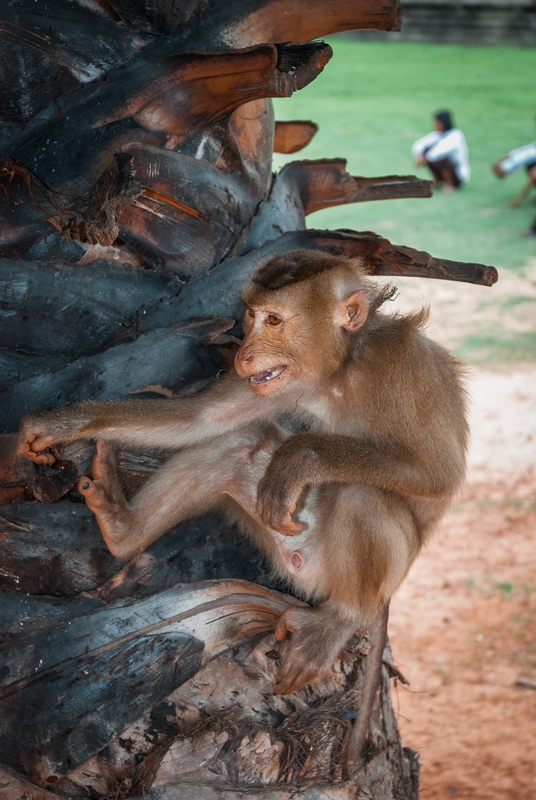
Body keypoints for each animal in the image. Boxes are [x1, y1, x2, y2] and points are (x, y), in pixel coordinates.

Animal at [18, 248, 466, 692]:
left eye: (274, 321)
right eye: (251, 316)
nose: (242, 355)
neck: (341, 368)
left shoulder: (403, 364)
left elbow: (437, 473)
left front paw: (297, 458)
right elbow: (202, 418)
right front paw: (64, 423)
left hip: (346, 569)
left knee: (363, 493)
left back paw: (342, 619)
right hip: (280, 541)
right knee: (237, 442)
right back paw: (122, 528)